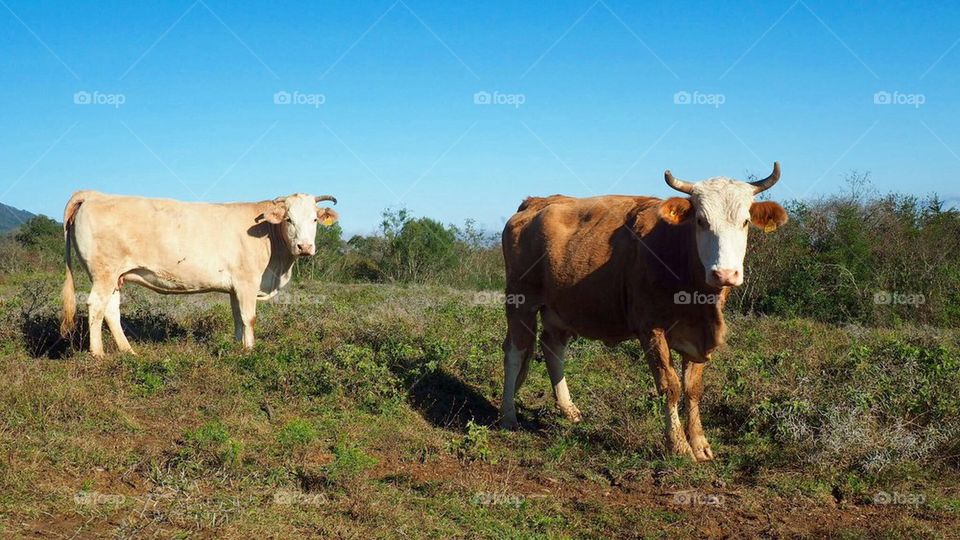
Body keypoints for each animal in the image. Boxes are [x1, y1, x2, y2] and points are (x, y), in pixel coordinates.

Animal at [58, 191, 340, 358]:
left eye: (315, 220)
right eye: (289, 219)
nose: (305, 247)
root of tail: (94, 194)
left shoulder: (235, 287)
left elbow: (237, 318)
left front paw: (237, 347)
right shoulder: (247, 281)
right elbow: (249, 318)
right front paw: (250, 351)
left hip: (116, 276)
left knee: (111, 310)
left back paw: (129, 352)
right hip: (103, 273)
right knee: (96, 306)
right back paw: (98, 355)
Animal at [502, 163, 788, 460]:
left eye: (745, 222)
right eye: (700, 221)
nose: (724, 274)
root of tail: (536, 202)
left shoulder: (698, 334)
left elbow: (693, 388)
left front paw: (699, 443)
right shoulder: (651, 328)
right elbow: (670, 386)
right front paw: (679, 445)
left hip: (560, 308)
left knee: (552, 348)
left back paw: (569, 410)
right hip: (520, 301)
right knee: (514, 352)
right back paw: (508, 416)